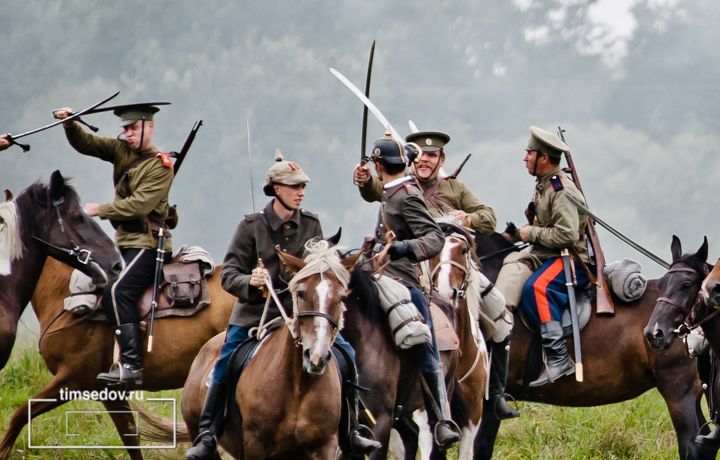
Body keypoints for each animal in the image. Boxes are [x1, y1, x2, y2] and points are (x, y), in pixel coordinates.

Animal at [476, 234, 712, 460]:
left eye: (687, 285)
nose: (655, 333)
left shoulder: (491, 400)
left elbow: (481, 447)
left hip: (679, 391)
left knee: (692, 446)